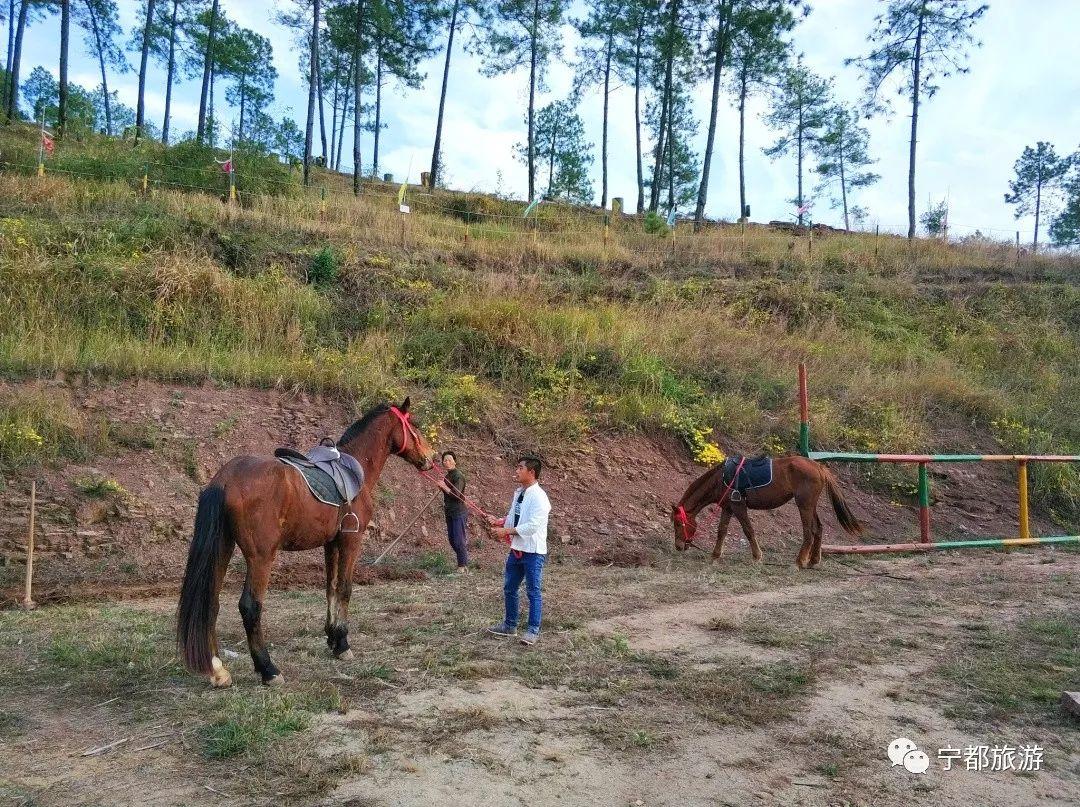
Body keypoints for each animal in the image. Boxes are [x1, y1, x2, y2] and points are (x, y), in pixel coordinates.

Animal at [177, 397, 434, 687]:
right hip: (261, 557)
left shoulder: (331, 544)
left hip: (223, 548)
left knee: (212, 603)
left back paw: (219, 671)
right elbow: (345, 588)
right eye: (414, 425)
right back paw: (269, 670)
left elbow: (330, 588)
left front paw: (333, 638)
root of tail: (225, 479)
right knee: (250, 606)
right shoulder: (351, 541)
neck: (356, 468)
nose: (430, 457)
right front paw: (343, 644)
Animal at [673, 453, 859, 566]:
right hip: (810, 505)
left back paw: (799, 562)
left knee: (809, 532)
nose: (679, 546)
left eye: (677, 524)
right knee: (819, 528)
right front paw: (715, 556)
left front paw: (757, 556)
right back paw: (813, 560)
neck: (722, 478)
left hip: (804, 505)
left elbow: (748, 530)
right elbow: (722, 531)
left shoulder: (739, 507)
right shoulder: (728, 508)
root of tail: (819, 467)